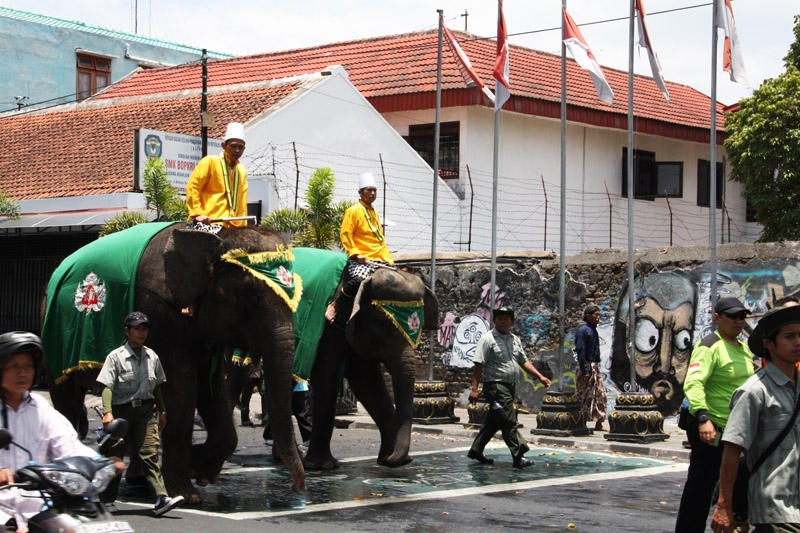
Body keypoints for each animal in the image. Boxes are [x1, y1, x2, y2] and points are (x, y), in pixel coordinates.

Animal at [43, 221, 306, 502]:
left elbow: (211, 390)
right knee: (68, 401)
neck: (214, 236)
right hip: (55, 338)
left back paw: (138, 480)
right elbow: (180, 391)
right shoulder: (162, 312)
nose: (297, 489)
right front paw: (187, 495)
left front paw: (201, 471)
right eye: (249, 297)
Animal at [298, 266, 438, 470]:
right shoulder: (327, 328)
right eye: (383, 325)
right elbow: (326, 375)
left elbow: (366, 381)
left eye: (419, 331)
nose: (392, 460)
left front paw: (389, 459)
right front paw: (322, 466)